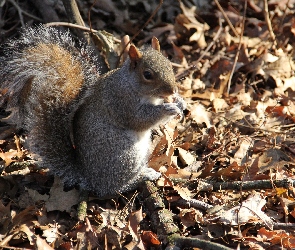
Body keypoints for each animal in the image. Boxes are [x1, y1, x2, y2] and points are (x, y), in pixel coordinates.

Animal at [0, 24, 185, 197]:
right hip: (124, 154)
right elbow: (139, 119)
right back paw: (142, 177)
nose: (173, 90)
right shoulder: (121, 101)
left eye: (169, 64)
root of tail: (89, 178)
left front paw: (180, 102)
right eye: (147, 74)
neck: (131, 84)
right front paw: (167, 108)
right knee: (113, 187)